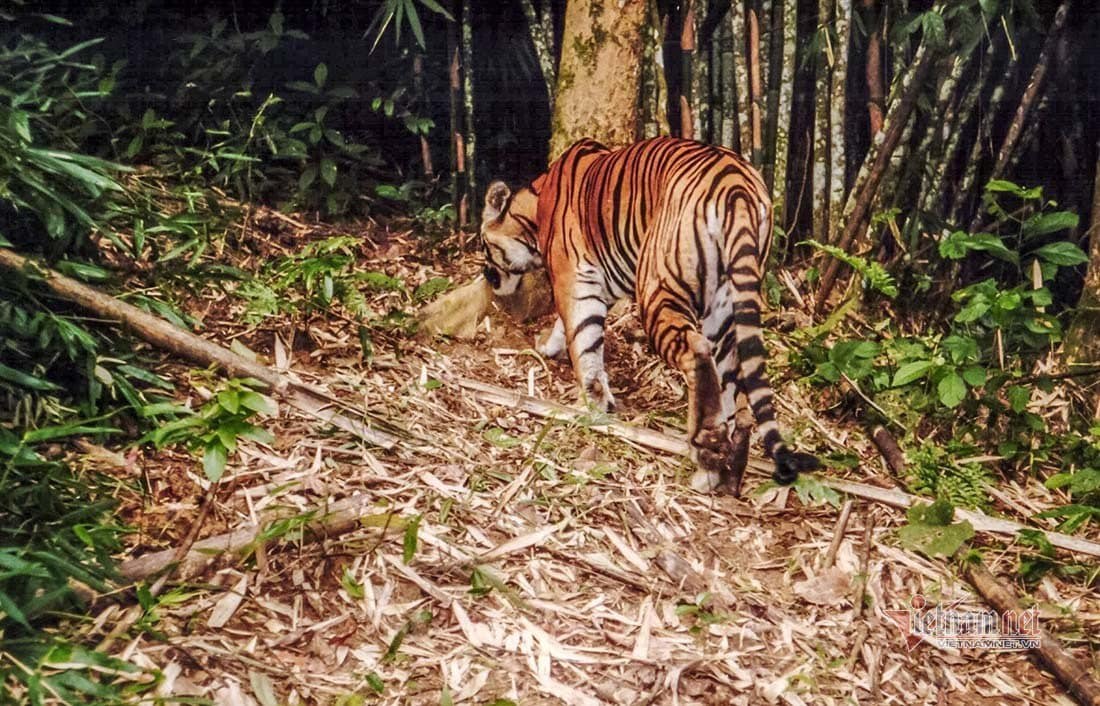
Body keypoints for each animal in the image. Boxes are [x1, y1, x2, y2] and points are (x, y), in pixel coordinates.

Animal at [480, 136, 819, 495]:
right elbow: (572, 329)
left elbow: (583, 340)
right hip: (727, 306)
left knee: (696, 354)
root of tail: (737, 187)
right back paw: (724, 474)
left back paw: (705, 449)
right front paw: (551, 347)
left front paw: (593, 403)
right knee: (735, 388)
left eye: (484, 245)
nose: (488, 277)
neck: (535, 205)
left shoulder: (572, 276)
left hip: (659, 287)